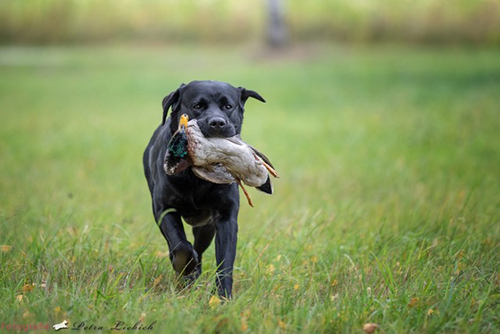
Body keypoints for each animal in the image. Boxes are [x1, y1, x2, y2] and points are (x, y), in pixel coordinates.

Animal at [144, 80, 266, 298]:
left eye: (228, 106)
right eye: (197, 106)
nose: (217, 123)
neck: (196, 178)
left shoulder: (225, 217)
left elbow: (225, 261)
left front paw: (223, 297)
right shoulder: (163, 209)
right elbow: (181, 245)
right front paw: (184, 265)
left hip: (206, 227)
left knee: (199, 248)